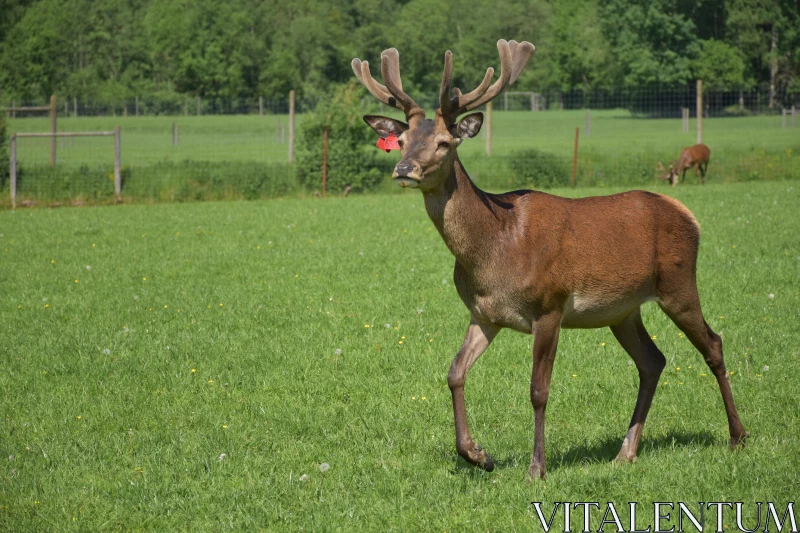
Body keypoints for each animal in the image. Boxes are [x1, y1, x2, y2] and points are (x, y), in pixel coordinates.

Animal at [354, 40, 748, 478]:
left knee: (713, 344)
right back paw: (626, 451)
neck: (495, 251)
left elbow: (538, 390)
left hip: (678, 283)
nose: (404, 168)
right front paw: (477, 455)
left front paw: (536, 468)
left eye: (444, 142)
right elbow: (455, 373)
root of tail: (687, 214)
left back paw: (737, 436)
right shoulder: (484, 314)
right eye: (402, 140)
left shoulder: (549, 306)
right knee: (653, 361)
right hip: (623, 311)